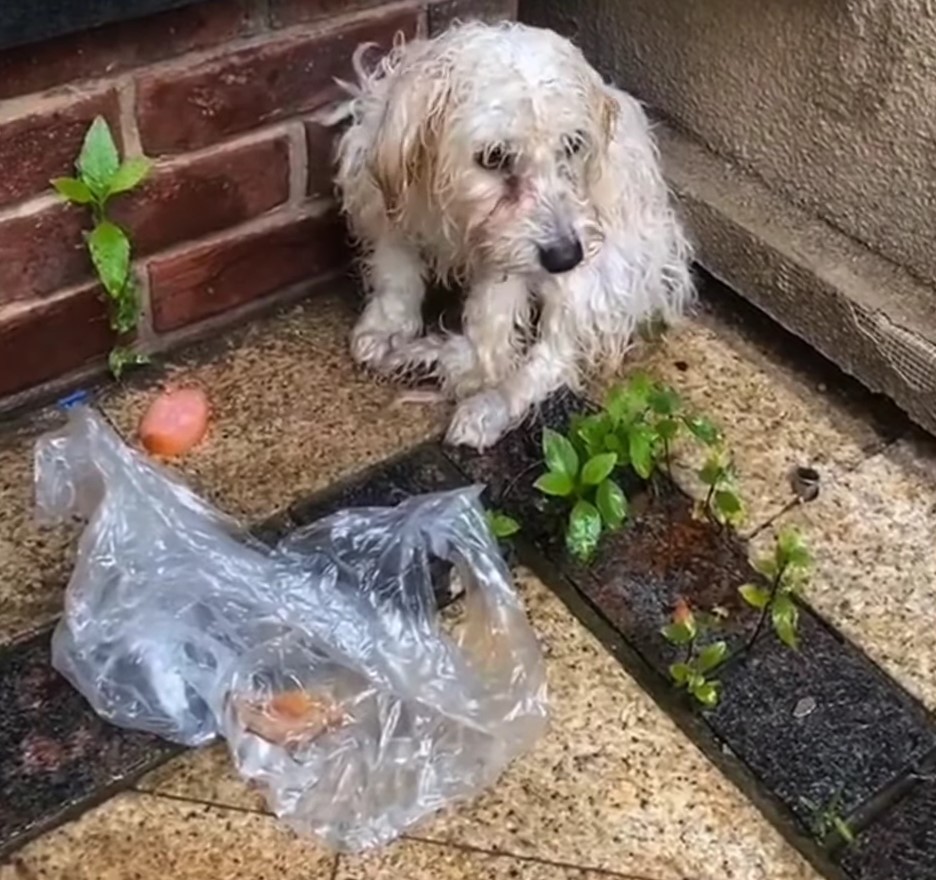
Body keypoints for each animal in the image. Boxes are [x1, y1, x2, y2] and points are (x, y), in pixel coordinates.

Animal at [328, 22, 688, 446]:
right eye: (494, 156)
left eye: (572, 145)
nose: (565, 257)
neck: (451, 212)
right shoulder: (382, 192)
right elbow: (396, 269)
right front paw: (387, 326)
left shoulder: (518, 260)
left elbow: (492, 331)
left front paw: (472, 374)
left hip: (597, 276)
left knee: (549, 360)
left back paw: (479, 397)